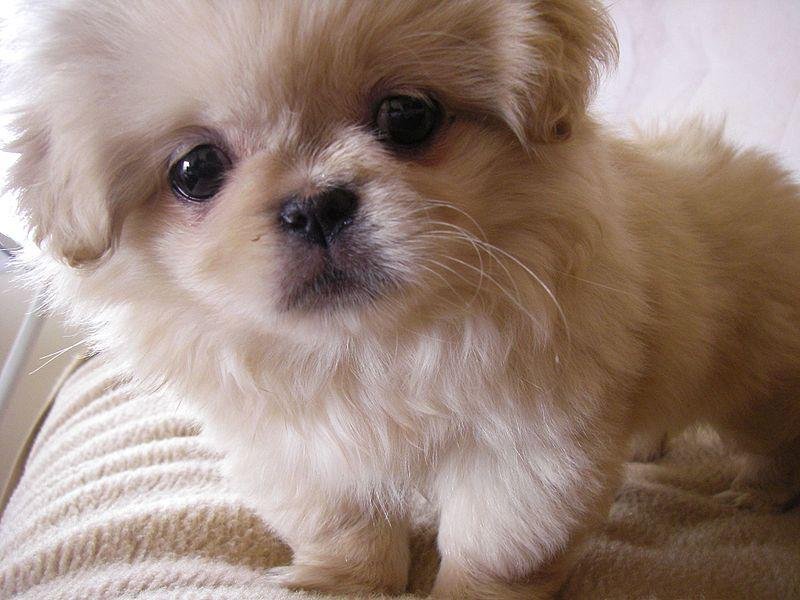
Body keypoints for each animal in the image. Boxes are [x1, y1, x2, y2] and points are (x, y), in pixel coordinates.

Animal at [6, 0, 800, 596]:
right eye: (195, 170)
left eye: (407, 115)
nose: (315, 206)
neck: (374, 344)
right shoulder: (299, 451)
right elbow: (344, 527)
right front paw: (338, 583)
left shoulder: (527, 452)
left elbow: (495, 548)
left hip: (761, 380)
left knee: (772, 440)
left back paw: (758, 495)